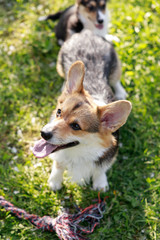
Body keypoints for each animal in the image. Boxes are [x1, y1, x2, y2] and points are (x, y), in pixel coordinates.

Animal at [32, 30, 131, 191]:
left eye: (76, 126)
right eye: (59, 112)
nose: (43, 133)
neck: (79, 152)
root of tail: (87, 32)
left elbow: (100, 170)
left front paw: (100, 183)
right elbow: (58, 165)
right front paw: (55, 181)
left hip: (116, 67)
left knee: (116, 80)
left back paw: (120, 92)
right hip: (60, 67)